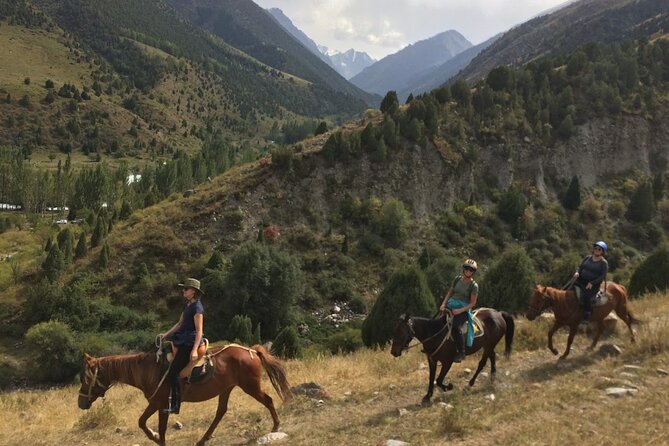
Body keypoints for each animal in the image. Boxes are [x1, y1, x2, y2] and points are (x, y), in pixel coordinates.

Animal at [77, 344, 292, 446]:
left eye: (85, 379)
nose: (81, 403)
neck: (148, 370)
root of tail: (251, 350)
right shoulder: (158, 404)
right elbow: (144, 423)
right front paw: (155, 437)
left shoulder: (161, 403)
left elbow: (151, 425)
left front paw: (157, 438)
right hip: (227, 388)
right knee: (220, 412)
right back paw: (203, 439)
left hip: (250, 386)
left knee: (268, 400)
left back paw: (276, 426)